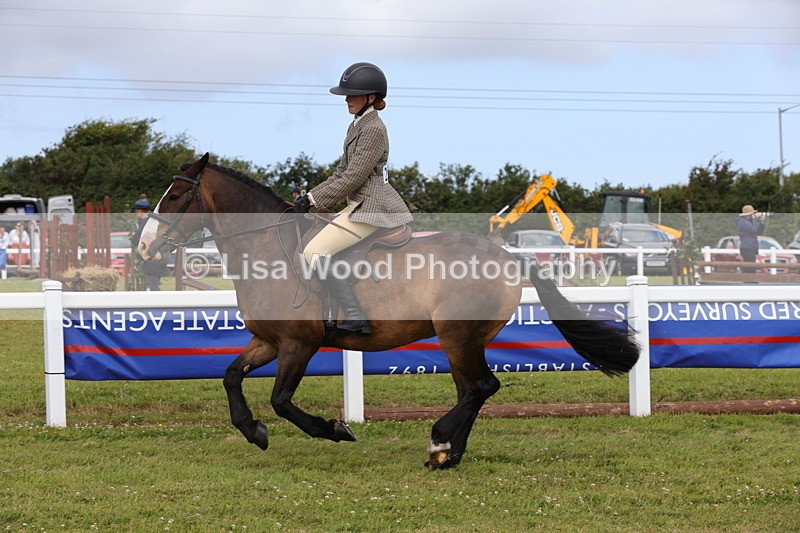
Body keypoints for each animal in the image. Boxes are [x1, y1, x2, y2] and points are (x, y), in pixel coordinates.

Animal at [137, 153, 639, 470]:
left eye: (176, 197)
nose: (144, 247)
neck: (265, 249)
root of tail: (508, 256)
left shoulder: (299, 343)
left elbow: (282, 401)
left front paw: (333, 429)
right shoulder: (268, 340)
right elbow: (230, 376)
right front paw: (252, 431)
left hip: (458, 336)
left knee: (481, 386)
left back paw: (439, 443)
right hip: (461, 340)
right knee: (472, 390)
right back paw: (448, 454)